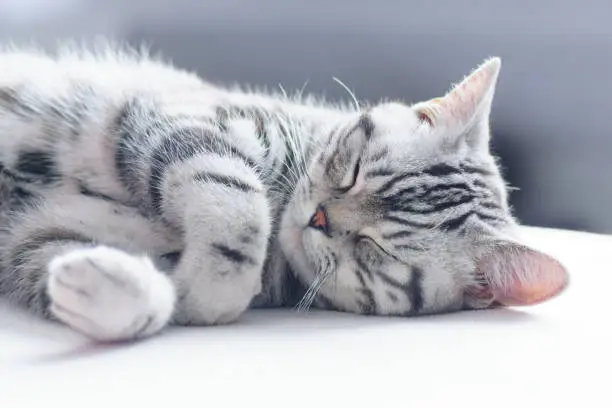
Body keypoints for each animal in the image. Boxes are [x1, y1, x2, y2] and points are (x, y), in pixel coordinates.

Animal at [0, 43, 568, 342]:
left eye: (375, 250)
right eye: (352, 170)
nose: (319, 217)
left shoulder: (33, 236)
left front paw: (142, 290)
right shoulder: (185, 121)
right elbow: (240, 205)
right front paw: (208, 287)